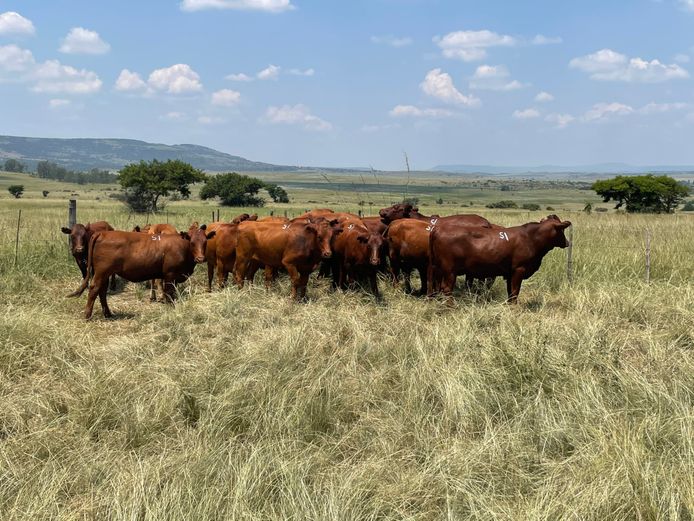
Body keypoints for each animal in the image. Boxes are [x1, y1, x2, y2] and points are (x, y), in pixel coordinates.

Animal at [73, 225, 215, 318]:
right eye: (192, 242)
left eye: (205, 242)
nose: (201, 258)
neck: (182, 246)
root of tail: (102, 233)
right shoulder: (170, 275)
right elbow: (169, 293)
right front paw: (170, 308)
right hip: (101, 272)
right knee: (94, 289)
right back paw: (87, 315)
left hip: (105, 274)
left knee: (102, 291)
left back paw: (107, 313)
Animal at [426, 212, 572, 300]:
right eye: (562, 230)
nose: (567, 242)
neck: (530, 238)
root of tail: (437, 230)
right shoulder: (519, 269)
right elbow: (515, 292)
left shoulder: (509, 273)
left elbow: (510, 293)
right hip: (449, 270)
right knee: (446, 289)